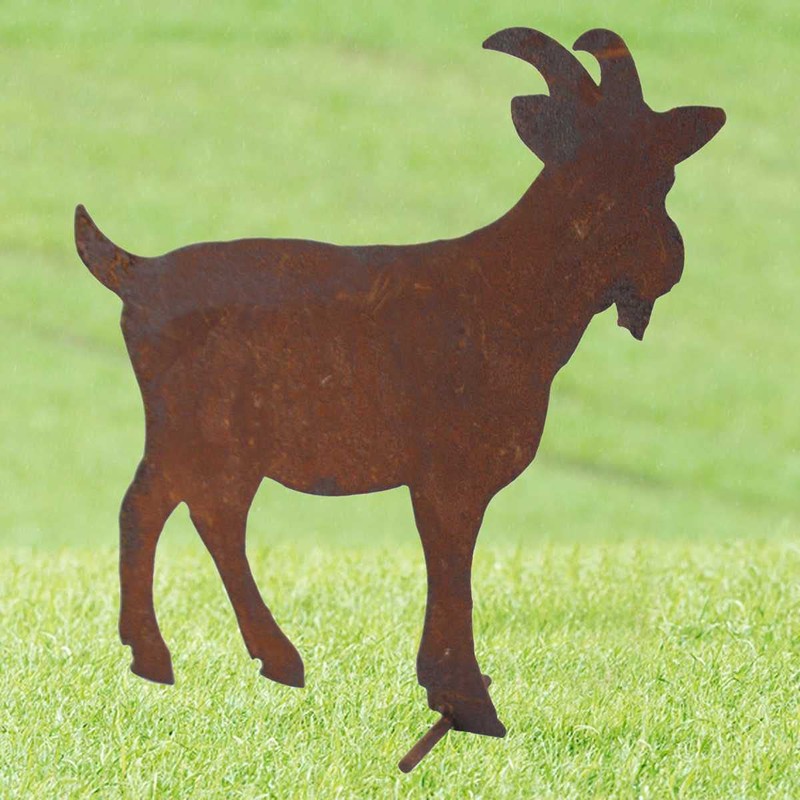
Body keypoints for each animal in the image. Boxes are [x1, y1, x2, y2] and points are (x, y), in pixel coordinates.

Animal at [75, 28, 724, 741]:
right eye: (589, 177)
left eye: (662, 174)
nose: (666, 265)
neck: (509, 294)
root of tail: (136, 275)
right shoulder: (447, 473)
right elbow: (451, 569)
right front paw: (468, 703)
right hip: (199, 430)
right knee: (154, 505)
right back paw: (168, 657)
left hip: (221, 442)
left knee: (201, 513)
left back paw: (262, 660)